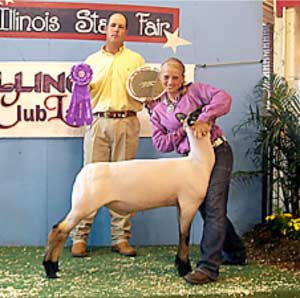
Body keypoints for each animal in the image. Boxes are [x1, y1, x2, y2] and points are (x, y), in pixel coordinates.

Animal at [42, 107, 216, 280]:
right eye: (195, 115)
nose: (204, 110)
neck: (197, 162)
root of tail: (83, 173)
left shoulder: (180, 204)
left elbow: (180, 234)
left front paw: (180, 264)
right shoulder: (189, 202)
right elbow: (184, 236)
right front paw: (184, 268)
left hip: (81, 205)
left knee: (59, 230)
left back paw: (53, 267)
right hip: (83, 205)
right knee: (59, 230)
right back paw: (50, 270)